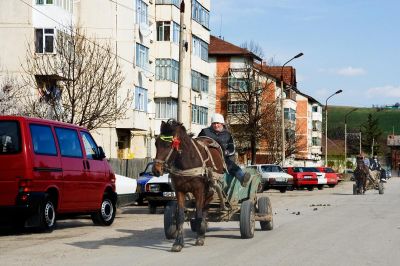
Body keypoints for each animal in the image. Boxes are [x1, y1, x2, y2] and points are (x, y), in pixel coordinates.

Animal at [153, 119, 227, 252]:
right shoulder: (180, 191)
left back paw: (201, 231)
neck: (187, 163)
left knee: (204, 209)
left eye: (168, 145)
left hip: (210, 189)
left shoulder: (199, 190)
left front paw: (199, 237)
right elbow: (180, 216)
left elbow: (198, 214)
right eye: (156, 144)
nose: (156, 170)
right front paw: (178, 243)